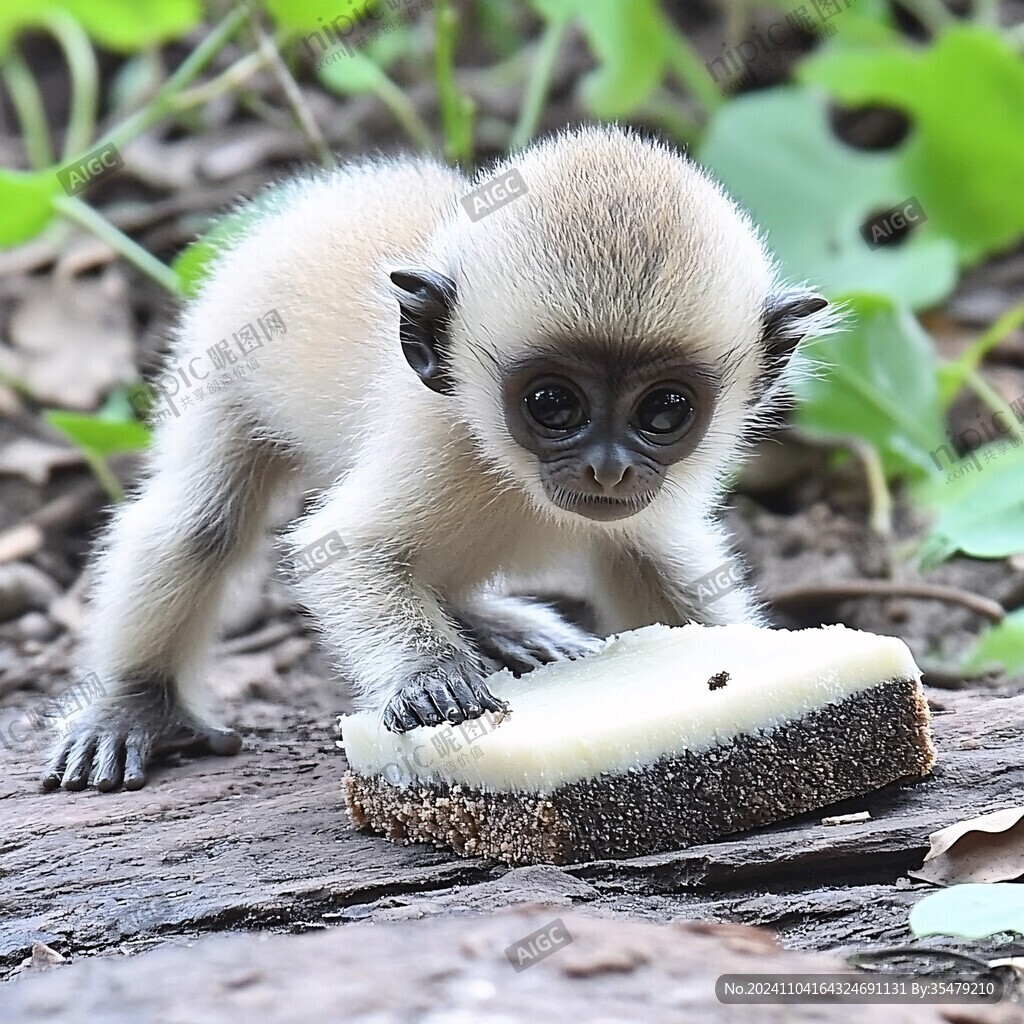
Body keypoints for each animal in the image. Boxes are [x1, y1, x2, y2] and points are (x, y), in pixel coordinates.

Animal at [48, 121, 831, 790]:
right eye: (553, 404)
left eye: (664, 410)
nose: (607, 468)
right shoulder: (435, 436)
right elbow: (345, 551)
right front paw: (428, 677)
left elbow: (659, 566)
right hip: (220, 349)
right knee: (199, 525)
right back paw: (136, 706)